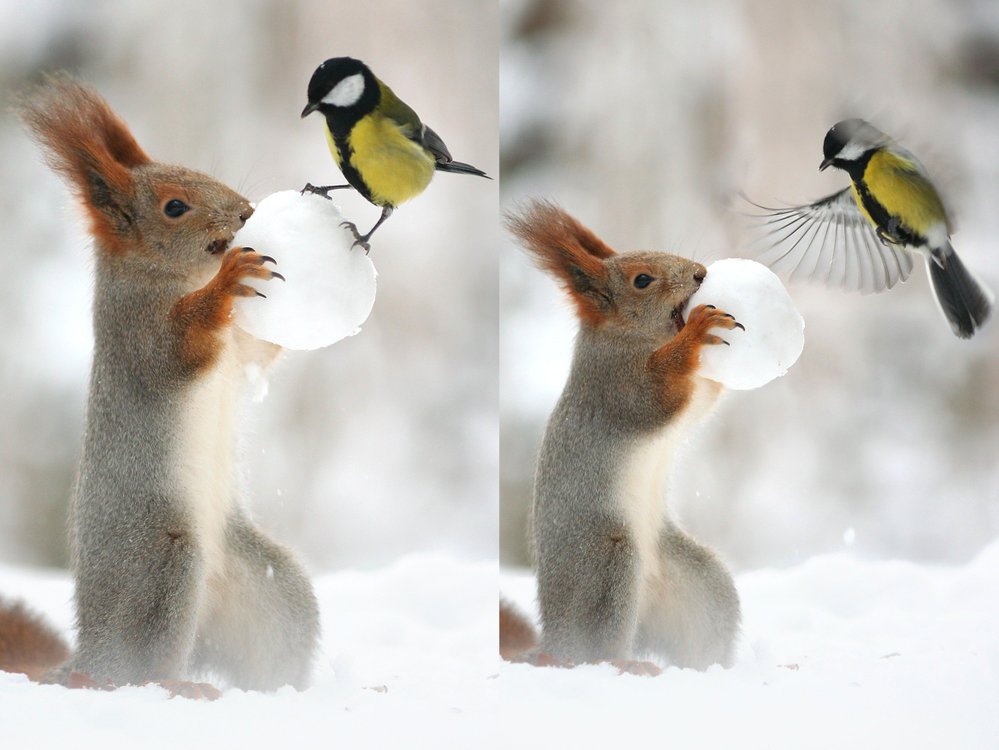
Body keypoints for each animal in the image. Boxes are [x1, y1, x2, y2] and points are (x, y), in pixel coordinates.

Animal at [0, 76, 316, 700]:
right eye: (174, 207)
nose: (246, 213)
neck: (170, 276)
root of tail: (87, 654)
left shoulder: (240, 350)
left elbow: (260, 352)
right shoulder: (138, 334)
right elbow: (176, 350)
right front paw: (229, 281)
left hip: (271, 588)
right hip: (160, 568)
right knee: (138, 672)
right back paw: (176, 686)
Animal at [508, 203, 744, 672]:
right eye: (642, 280)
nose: (700, 274)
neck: (630, 335)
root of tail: (554, 641)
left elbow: (705, 396)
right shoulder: (617, 384)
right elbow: (654, 399)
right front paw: (697, 332)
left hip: (700, 581)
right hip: (608, 565)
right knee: (596, 653)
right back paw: (626, 665)